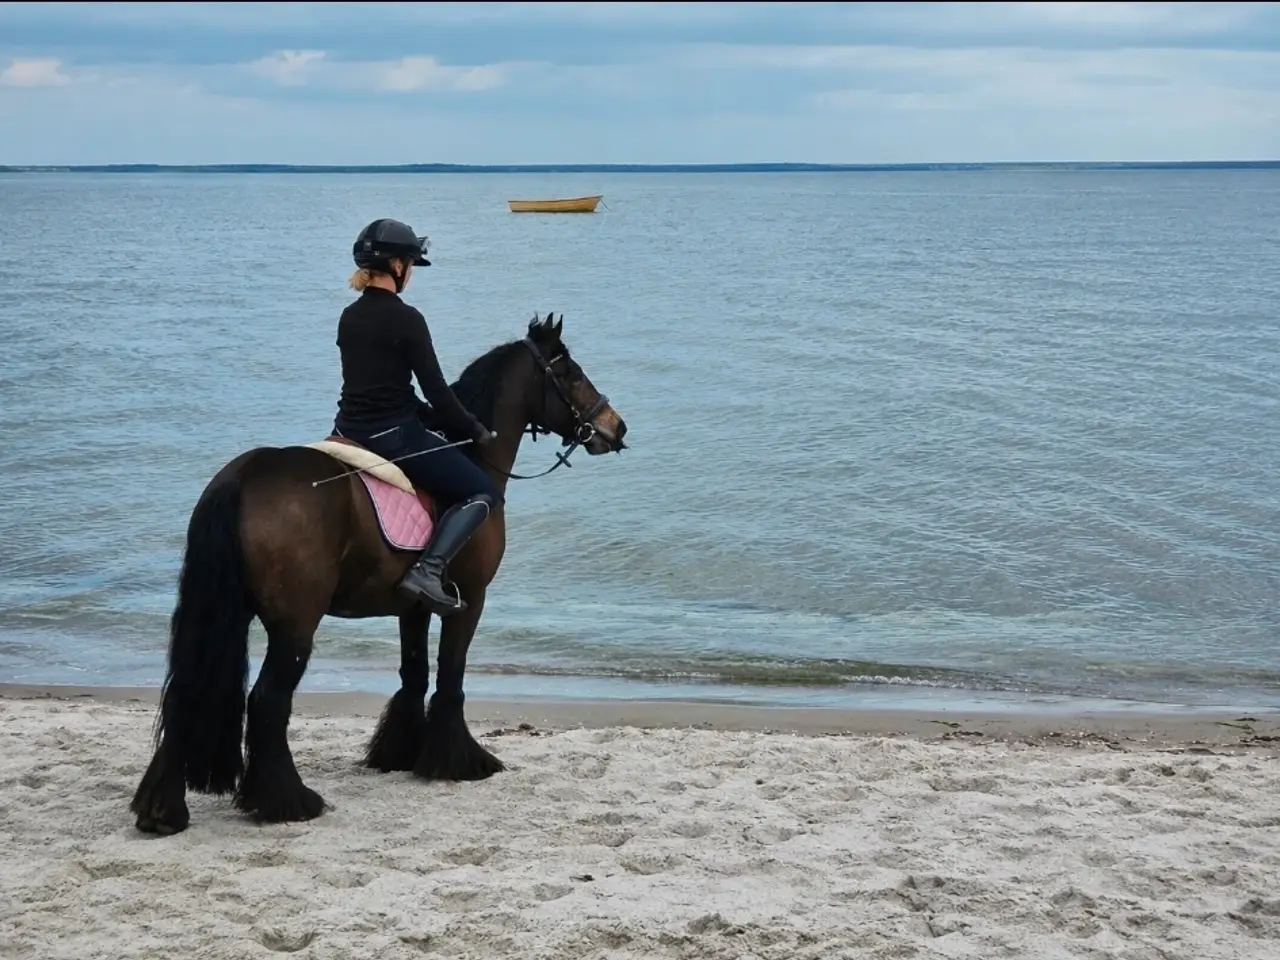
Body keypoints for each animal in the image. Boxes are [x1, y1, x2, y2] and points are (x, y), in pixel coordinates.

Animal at [129, 313, 628, 835]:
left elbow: (415, 672)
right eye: (569, 371)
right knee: (267, 700)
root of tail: (244, 476)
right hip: (295, 626)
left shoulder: (414, 606)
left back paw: (163, 811)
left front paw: (400, 754)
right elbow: (450, 675)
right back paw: (287, 801)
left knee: (190, 690)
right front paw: (460, 761)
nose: (616, 427)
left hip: (225, 615)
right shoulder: (470, 599)